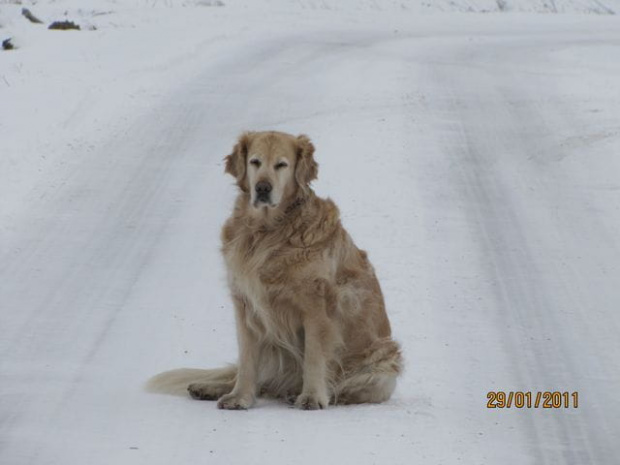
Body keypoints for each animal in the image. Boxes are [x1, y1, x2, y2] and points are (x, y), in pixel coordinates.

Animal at [148, 131, 404, 410]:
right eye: (255, 162)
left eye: (282, 165)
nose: (262, 188)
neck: (268, 232)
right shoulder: (246, 304)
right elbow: (247, 360)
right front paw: (240, 397)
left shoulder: (317, 308)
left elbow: (314, 356)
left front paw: (312, 396)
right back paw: (210, 387)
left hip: (382, 359)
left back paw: (303, 393)